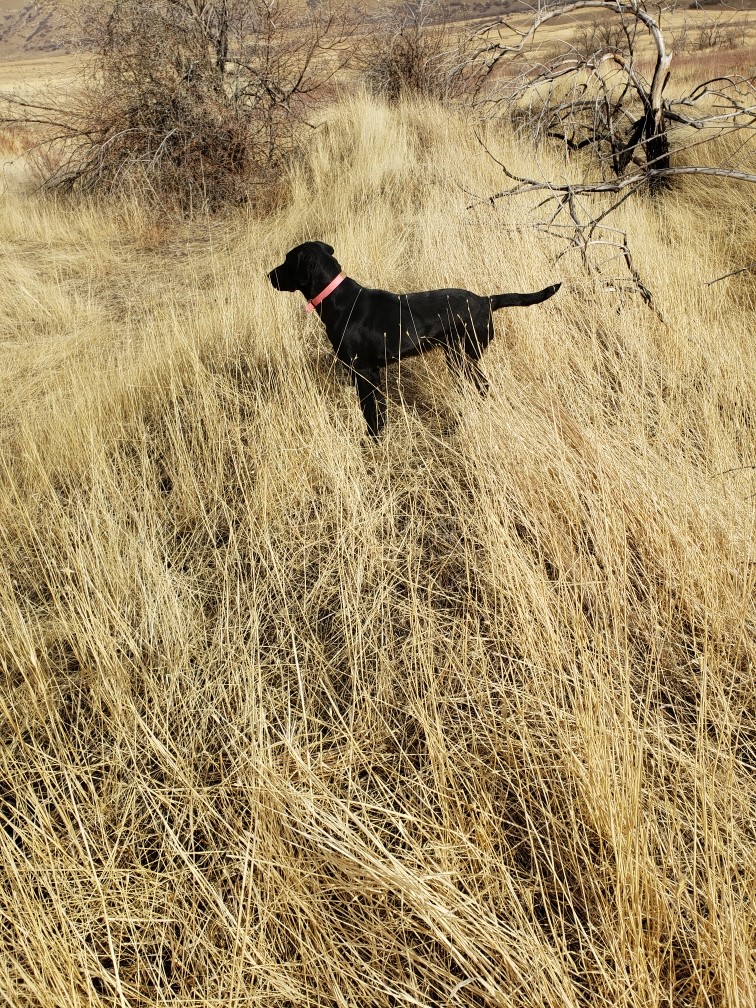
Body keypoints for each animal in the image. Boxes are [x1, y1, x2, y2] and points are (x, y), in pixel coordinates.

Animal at [268, 242, 564, 437]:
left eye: (287, 261)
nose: (269, 275)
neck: (337, 300)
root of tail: (485, 301)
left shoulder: (361, 371)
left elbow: (369, 412)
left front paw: (372, 441)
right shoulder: (374, 373)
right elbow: (380, 409)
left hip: (462, 357)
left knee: (483, 387)